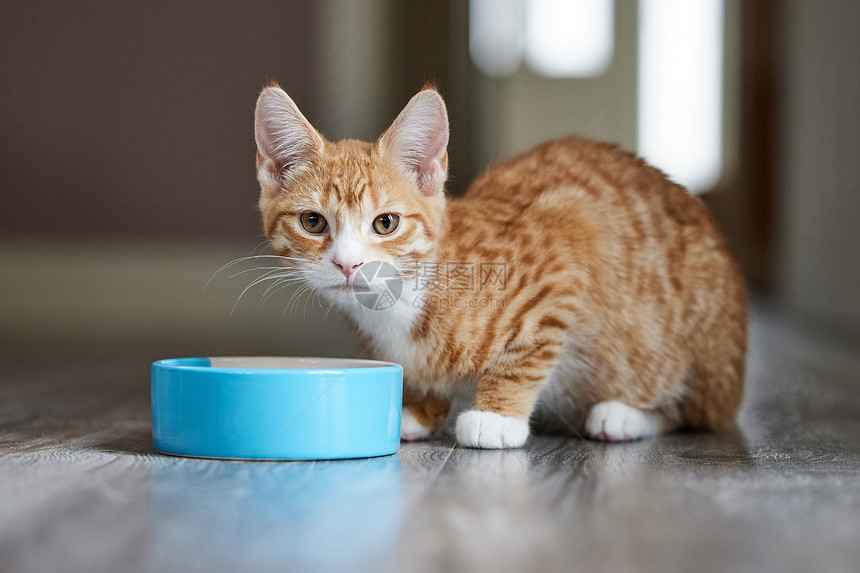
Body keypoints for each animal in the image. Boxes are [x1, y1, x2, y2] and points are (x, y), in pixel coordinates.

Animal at [254, 82, 744, 450]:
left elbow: (526, 352)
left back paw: (622, 415)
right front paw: (418, 407)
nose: (348, 264)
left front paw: (496, 414)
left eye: (386, 223)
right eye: (313, 222)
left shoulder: (570, 235)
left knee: (694, 412)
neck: (402, 301)